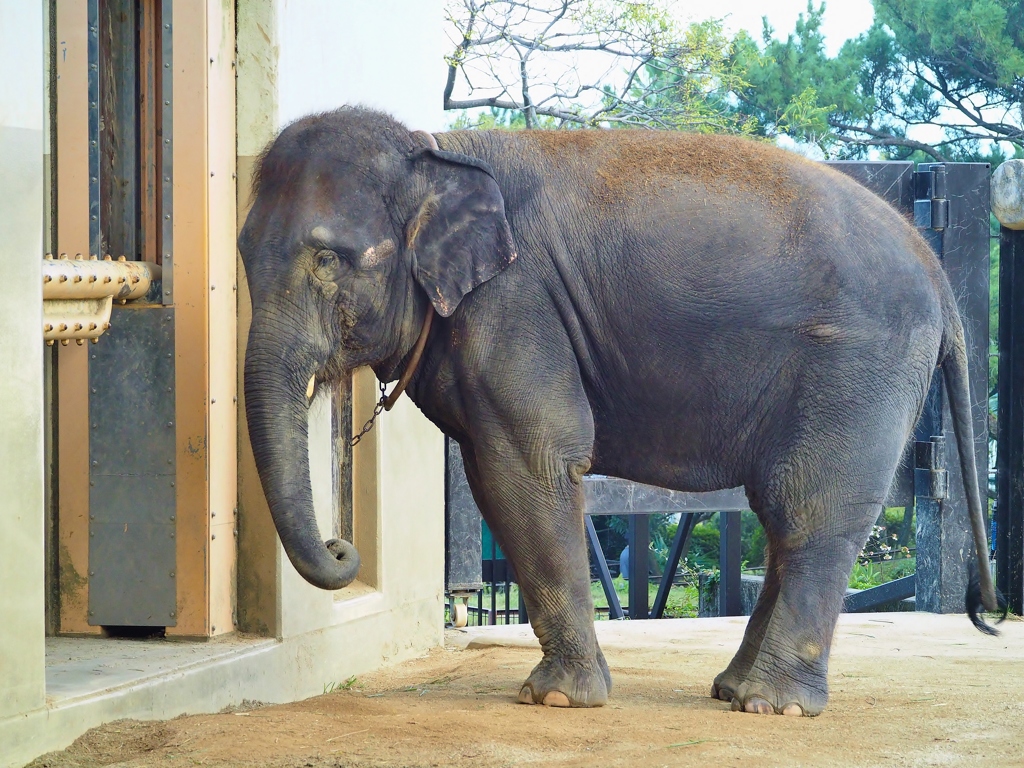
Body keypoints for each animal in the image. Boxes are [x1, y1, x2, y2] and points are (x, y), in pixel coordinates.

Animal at [239, 108, 999, 720]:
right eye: (242, 255)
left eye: (328, 260)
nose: (342, 547)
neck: (434, 152)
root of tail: (938, 272)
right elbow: (496, 472)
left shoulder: (517, 305)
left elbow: (530, 463)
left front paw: (555, 699)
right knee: (784, 512)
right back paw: (733, 690)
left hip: (859, 364)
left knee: (813, 506)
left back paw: (773, 705)